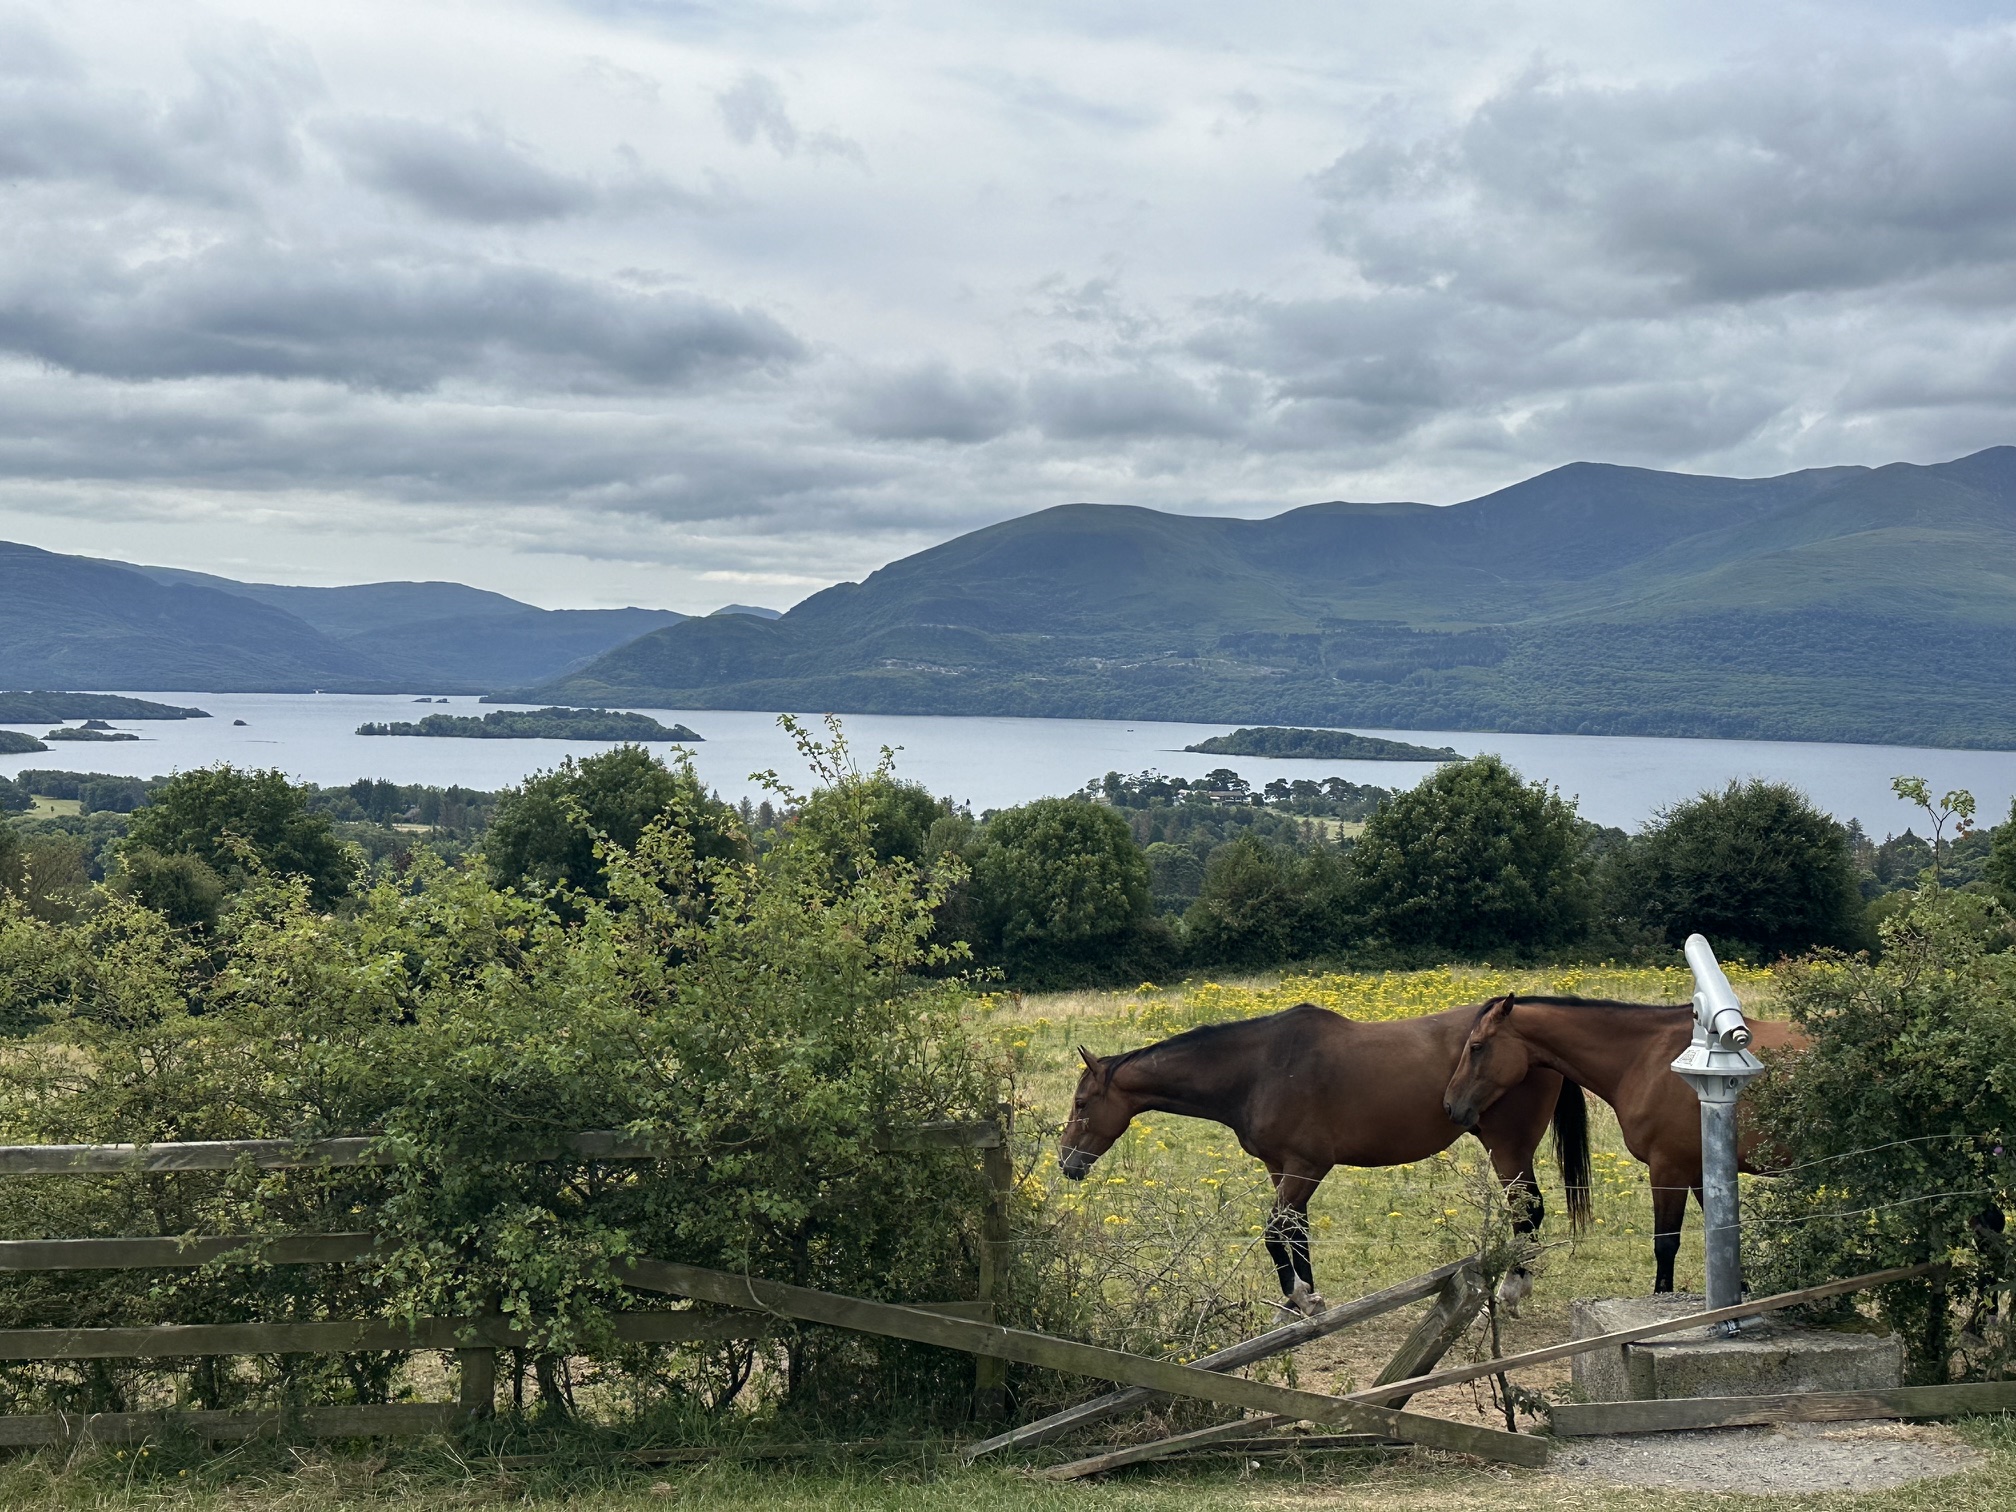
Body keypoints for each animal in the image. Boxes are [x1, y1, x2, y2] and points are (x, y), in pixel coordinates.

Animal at [1058, 1003, 1592, 1316]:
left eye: (1082, 1104)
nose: (1067, 1162)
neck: (1260, 1069)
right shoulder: (1282, 1168)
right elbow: (1295, 1231)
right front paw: (1303, 1300)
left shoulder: (1305, 1167)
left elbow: (1275, 1230)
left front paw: (1297, 1296)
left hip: (1508, 1147)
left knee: (1528, 1209)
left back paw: (1513, 1289)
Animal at [1441, 993, 1808, 1294]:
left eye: (1476, 1046)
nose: (1450, 1105)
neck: (1648, 1059)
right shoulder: (1701, 1171)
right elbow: (1722, 1234)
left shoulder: (1669, 1171)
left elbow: (1666, 1244)